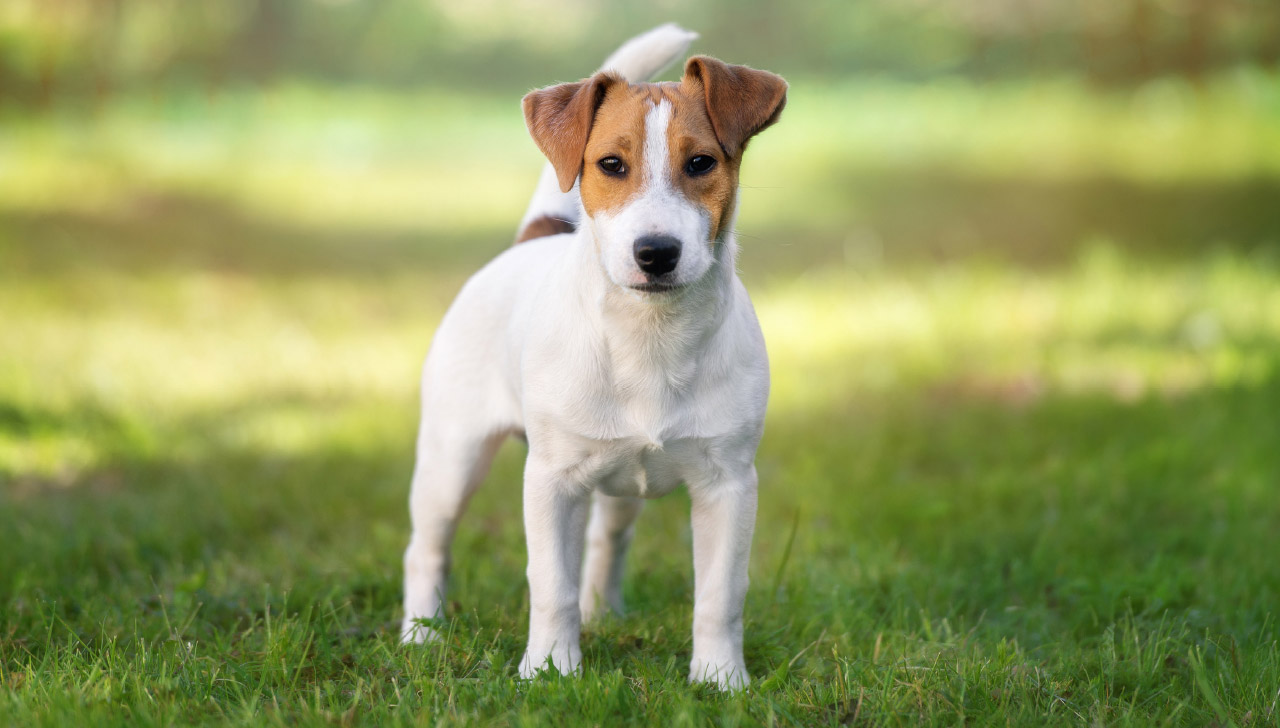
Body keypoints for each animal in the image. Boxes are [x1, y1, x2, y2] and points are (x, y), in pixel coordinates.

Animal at [399, 24, 783, 690]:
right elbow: (550, 583)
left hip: (619, 487)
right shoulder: (552, 481)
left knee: (607, 543)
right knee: (427, 547)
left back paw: (601, 612)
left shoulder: (729, 484)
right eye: (610, 164)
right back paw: (420, 636)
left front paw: (719, 680)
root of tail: (531, 241)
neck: (649, 338)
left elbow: (720, 594)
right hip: (453, 456)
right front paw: (550, 670)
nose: (656, 252)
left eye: (701, 163)